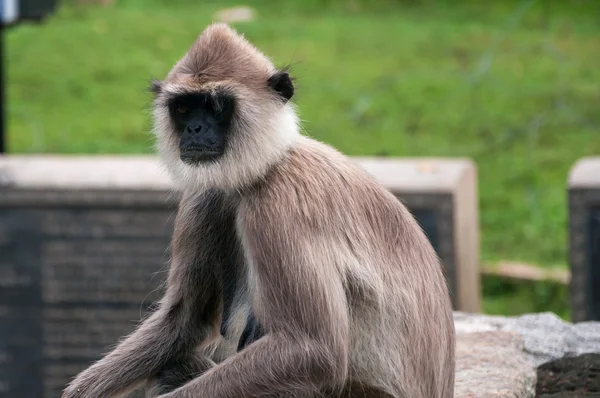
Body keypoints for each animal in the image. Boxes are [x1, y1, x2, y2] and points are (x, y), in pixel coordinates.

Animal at [62, 22, 454, 398]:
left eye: (216, 106)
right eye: (184, 107)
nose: (195, 128)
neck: (265, 167)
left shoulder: (279, 204)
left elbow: (313, 350)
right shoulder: (205, 195)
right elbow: (186, 321)